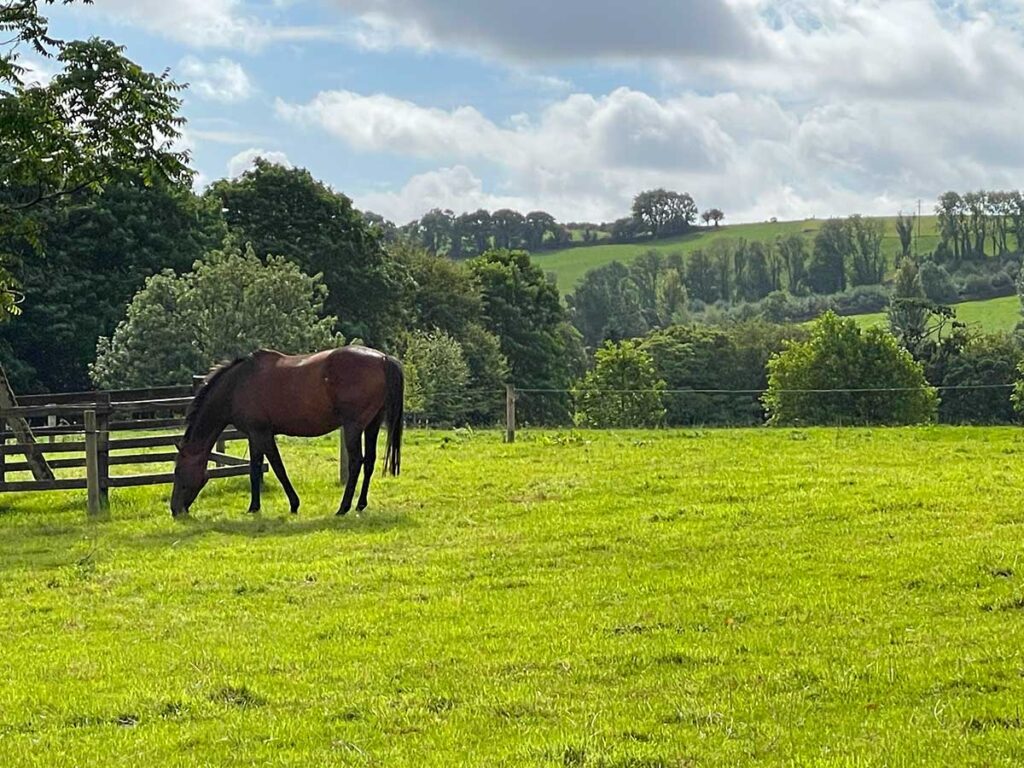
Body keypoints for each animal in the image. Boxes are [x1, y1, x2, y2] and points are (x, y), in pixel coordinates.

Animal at [170, 346, 404, 518]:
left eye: (178, 471)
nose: (175, 509)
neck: (237, 385)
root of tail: (383, 359)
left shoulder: (262, 434)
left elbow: (277, 467)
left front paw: (294, 504)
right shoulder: (254, 436)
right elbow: (254, 469)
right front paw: (254, 507)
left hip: (353, 427)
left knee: (356, 462)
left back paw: (343, 508)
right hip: (372, 424)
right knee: (369, 461)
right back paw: (360, 505)